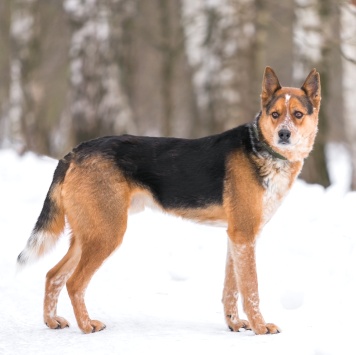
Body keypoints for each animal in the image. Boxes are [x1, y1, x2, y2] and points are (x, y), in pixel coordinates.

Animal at [18, 66, 322, 334]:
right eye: (275, 114)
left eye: (297, 114)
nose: (284, 134)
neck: (264, 152)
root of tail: (75, 151)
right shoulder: (244, 236)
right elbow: (251, 290)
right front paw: (260, 328)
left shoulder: (237, 237)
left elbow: (231, 289)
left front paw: (234, 324)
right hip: (106, 234)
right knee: (74, 283)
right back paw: (86, 326)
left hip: (88, 234)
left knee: (53, 275)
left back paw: (52, 321)